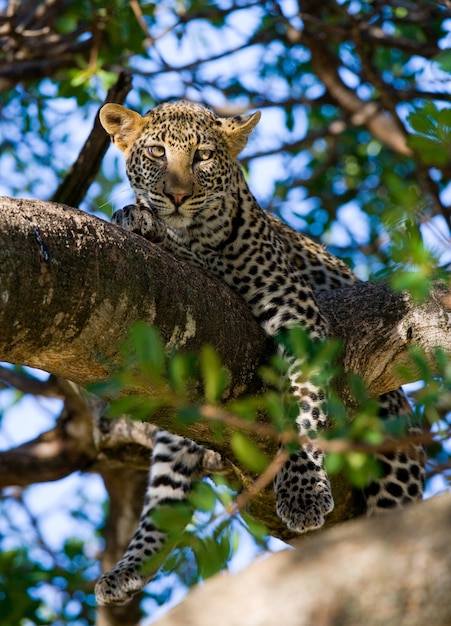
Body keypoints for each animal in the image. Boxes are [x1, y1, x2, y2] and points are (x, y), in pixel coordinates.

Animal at [93, 100, 426, 604]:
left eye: (203, 156)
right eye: (155, 152)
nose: (176, 196)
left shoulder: (297, 320)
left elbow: (304, 410)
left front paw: (303, 491)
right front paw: (139, 217)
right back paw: (128, 568)